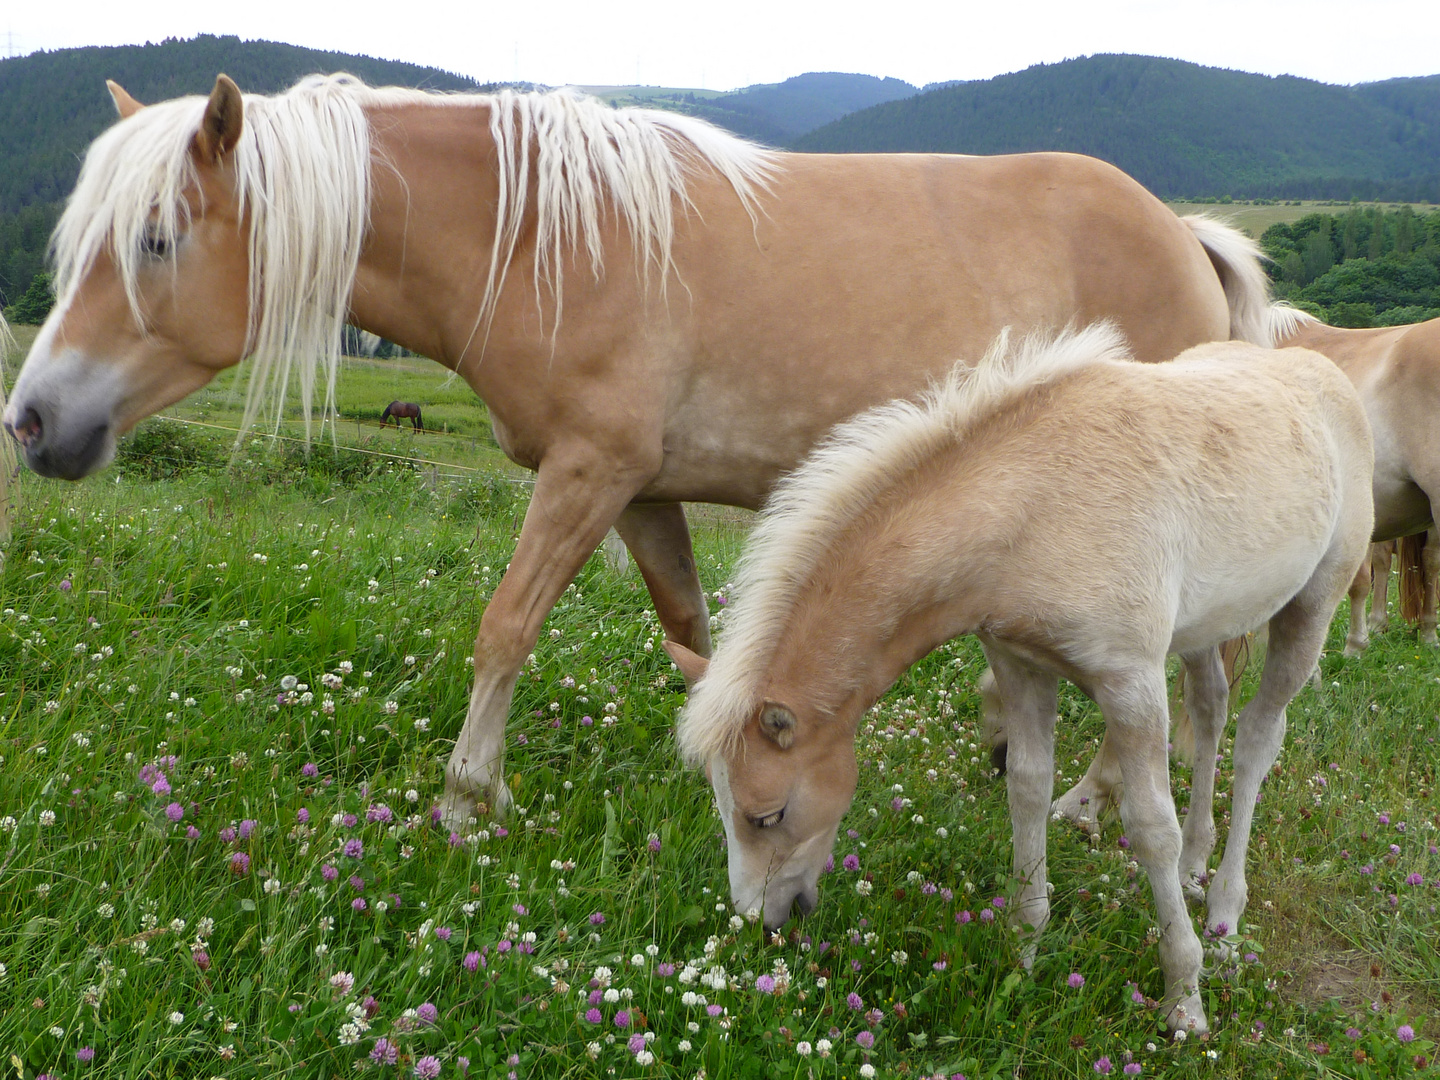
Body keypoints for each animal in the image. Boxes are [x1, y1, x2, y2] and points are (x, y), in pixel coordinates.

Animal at [2, 72, 1272, 823]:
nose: (34, 423)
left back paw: (1088, 808)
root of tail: (1188, 236)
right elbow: (694, 635)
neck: (549, 244)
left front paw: (468, 802)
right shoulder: (644, 493)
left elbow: (507, 626)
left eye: (154, 238)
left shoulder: (587, 476)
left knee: (1189, 671)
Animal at [662, 329, 1370, 1042]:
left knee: (1257, 741)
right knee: (1213, 708)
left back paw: (1223, 916)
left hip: (1312, 604)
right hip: (1205, 626)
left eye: (767, 815)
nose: (761, 923)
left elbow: (1149, 829)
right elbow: (1027, 790)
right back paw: (1197, 863)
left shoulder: (1131, 681)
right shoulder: (1020, 664)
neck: (1032, 508)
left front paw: (1184, 998)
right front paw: (1022, 952)